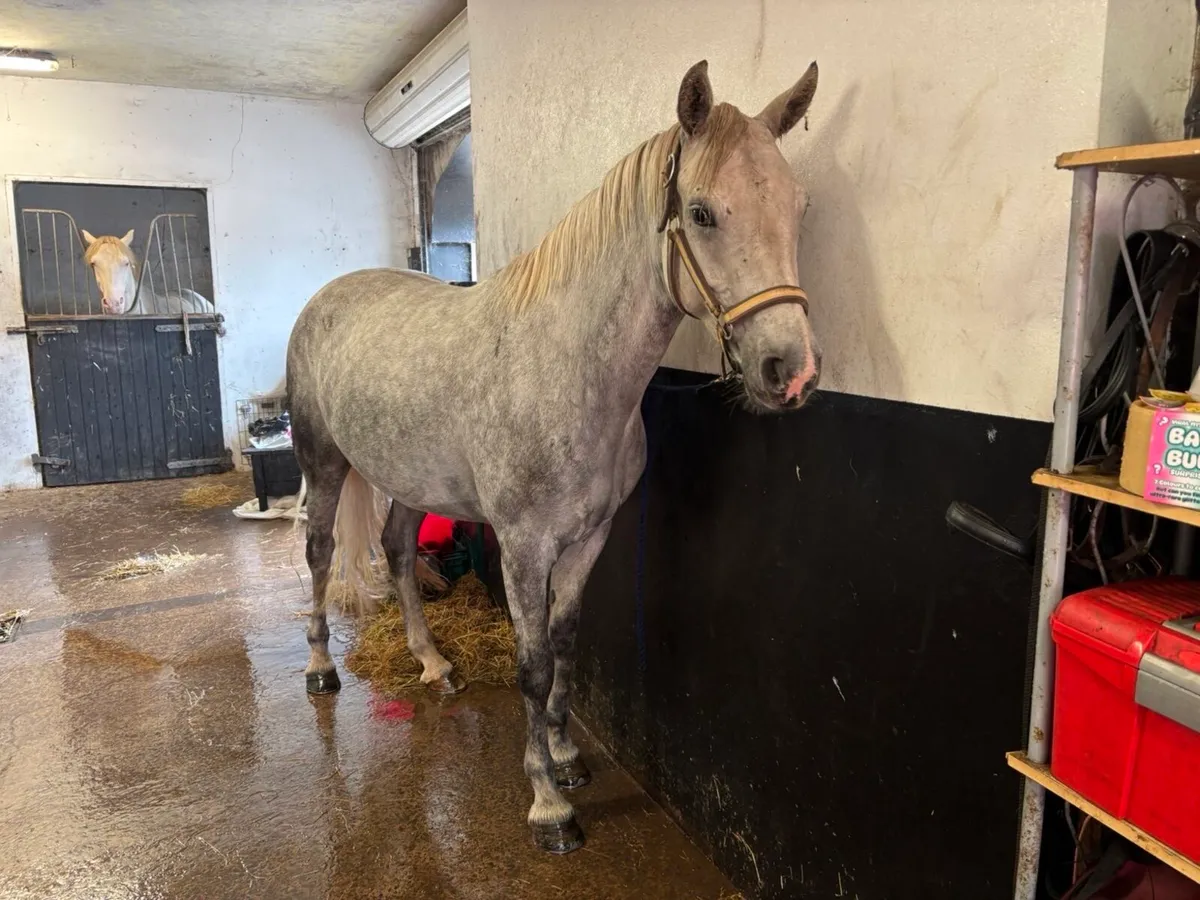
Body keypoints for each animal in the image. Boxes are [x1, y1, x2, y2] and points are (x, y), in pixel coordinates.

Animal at [286, 59, 822, 854]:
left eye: (798, 205)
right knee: (321, 555)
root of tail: (328, 297)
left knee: (397, 551)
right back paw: (322, 669)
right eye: (701, 213)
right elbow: (532, 663)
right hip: (323, 464)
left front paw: (567, 757)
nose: (791, 371)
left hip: (409, 479)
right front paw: (547, 804)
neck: (568, 366)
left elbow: (567, 641)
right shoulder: (523, 545)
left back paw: (434, 664)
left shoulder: (589, 536)